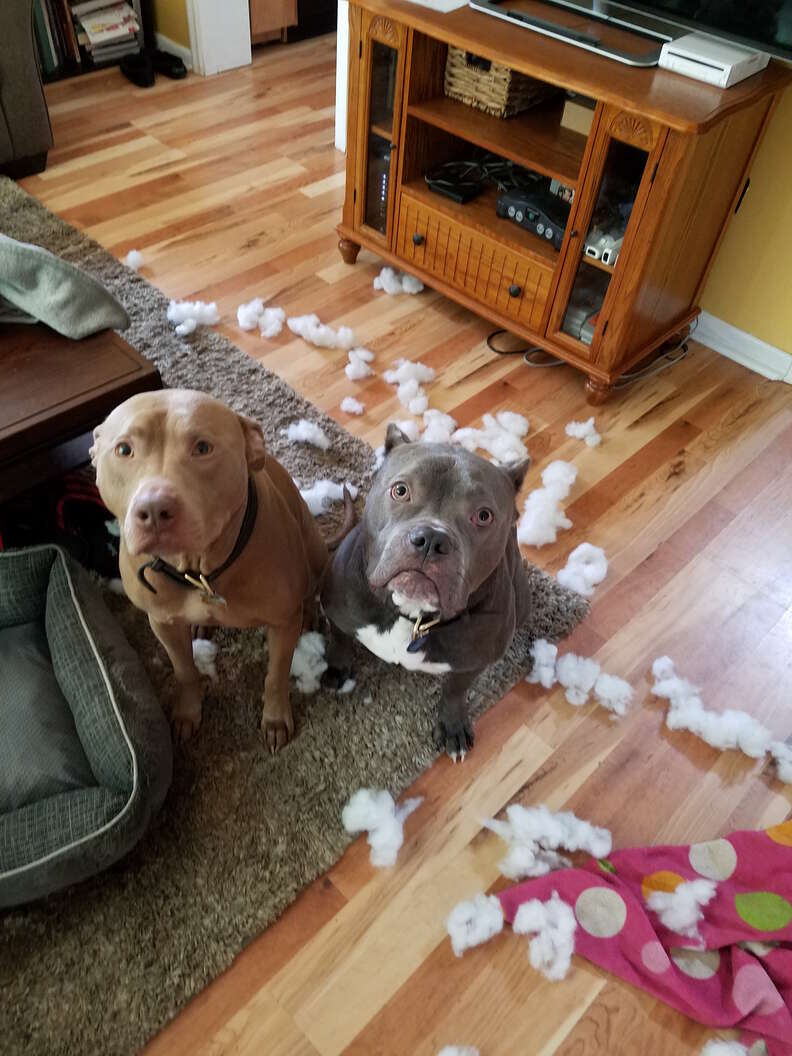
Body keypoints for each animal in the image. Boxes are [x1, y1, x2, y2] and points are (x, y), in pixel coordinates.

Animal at [92, 390, 329, 751]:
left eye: (203, 447)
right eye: (124, 450)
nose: (154, 509)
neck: (198, 570)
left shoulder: (283, 622)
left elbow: (276, 675)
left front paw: (274, 718)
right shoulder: (162, 623)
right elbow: (184, 671)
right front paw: (188, 712)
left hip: (313, 548)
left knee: (314, 587)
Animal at [321, 422, 534, 760]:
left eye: (483, 515)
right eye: (400, 490)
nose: (432, 538)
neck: (412, 613)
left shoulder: (473, 661)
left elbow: (455, 690)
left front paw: (453, 726)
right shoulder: (338, 612)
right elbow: (341, 642)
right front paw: (337, 671)